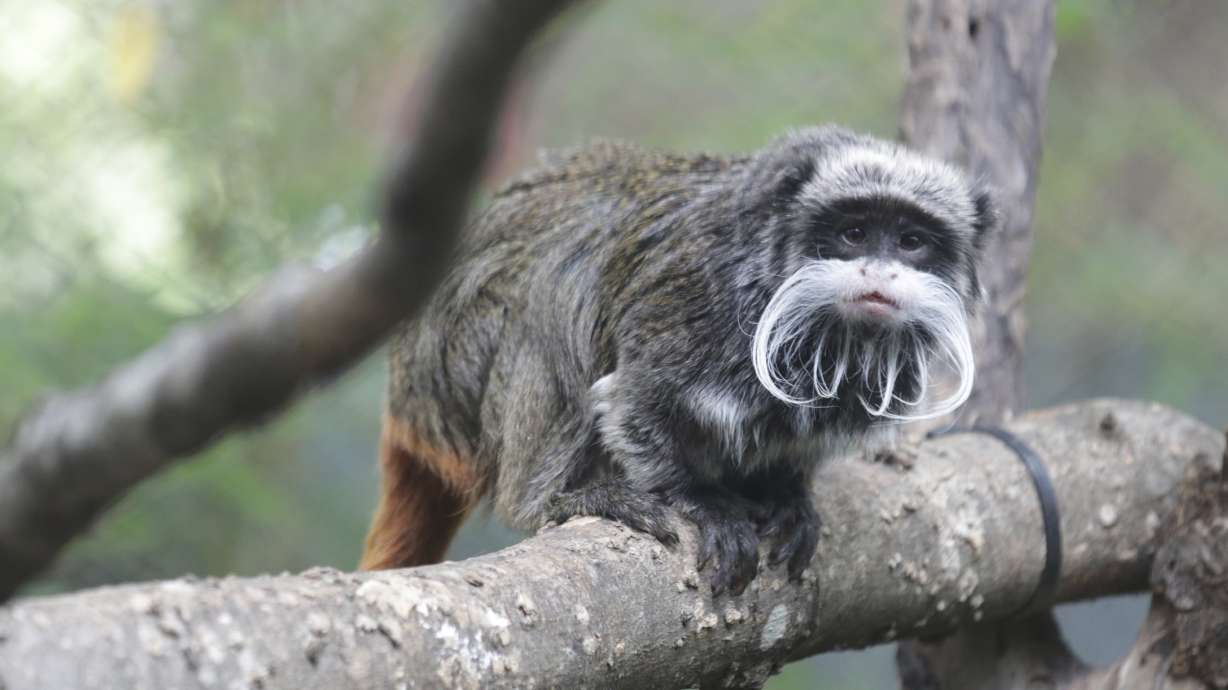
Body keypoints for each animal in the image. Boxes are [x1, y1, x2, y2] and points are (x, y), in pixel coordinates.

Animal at [360, 125, 994, 595]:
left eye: (912, 242)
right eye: (854, 232)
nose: (880, 272)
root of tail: (404, 394)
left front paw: (787, 494)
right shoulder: (694, 303)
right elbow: (633, 405)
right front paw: (702, 501)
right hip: (453, 370)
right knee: (556, 288)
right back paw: (552, 497)